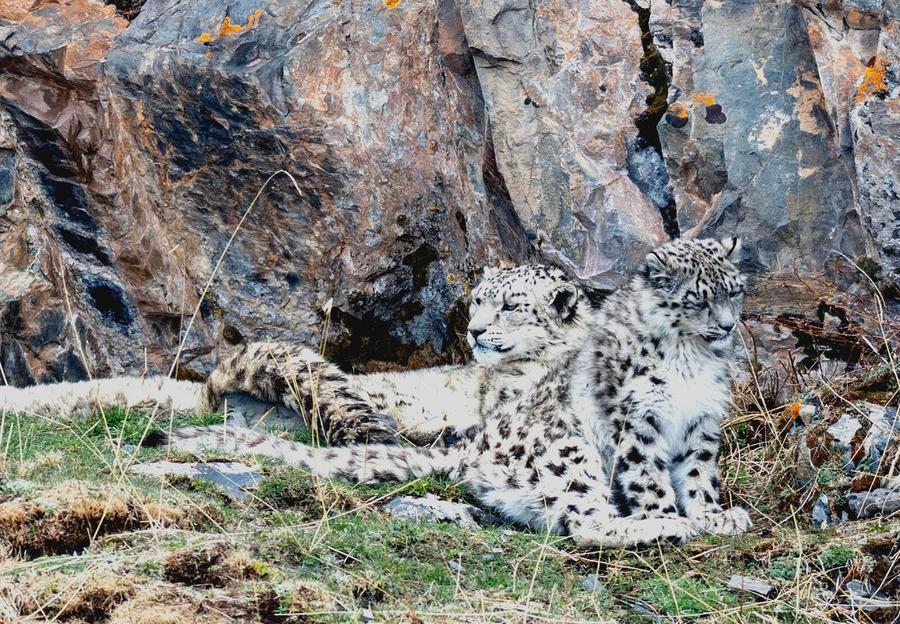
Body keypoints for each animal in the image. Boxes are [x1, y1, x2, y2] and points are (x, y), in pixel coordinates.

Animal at [164, 238, 754, 547]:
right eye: (478, 300)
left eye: (512, 305)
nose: (474, 331)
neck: (690, 362)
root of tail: (475, 451)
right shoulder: (635, 421)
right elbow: (649, 477)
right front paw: (678, 515)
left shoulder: (701, 424)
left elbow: (697, 476)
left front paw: (714, 514)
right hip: (568, 450)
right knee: (582, 520)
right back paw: (659, 526)